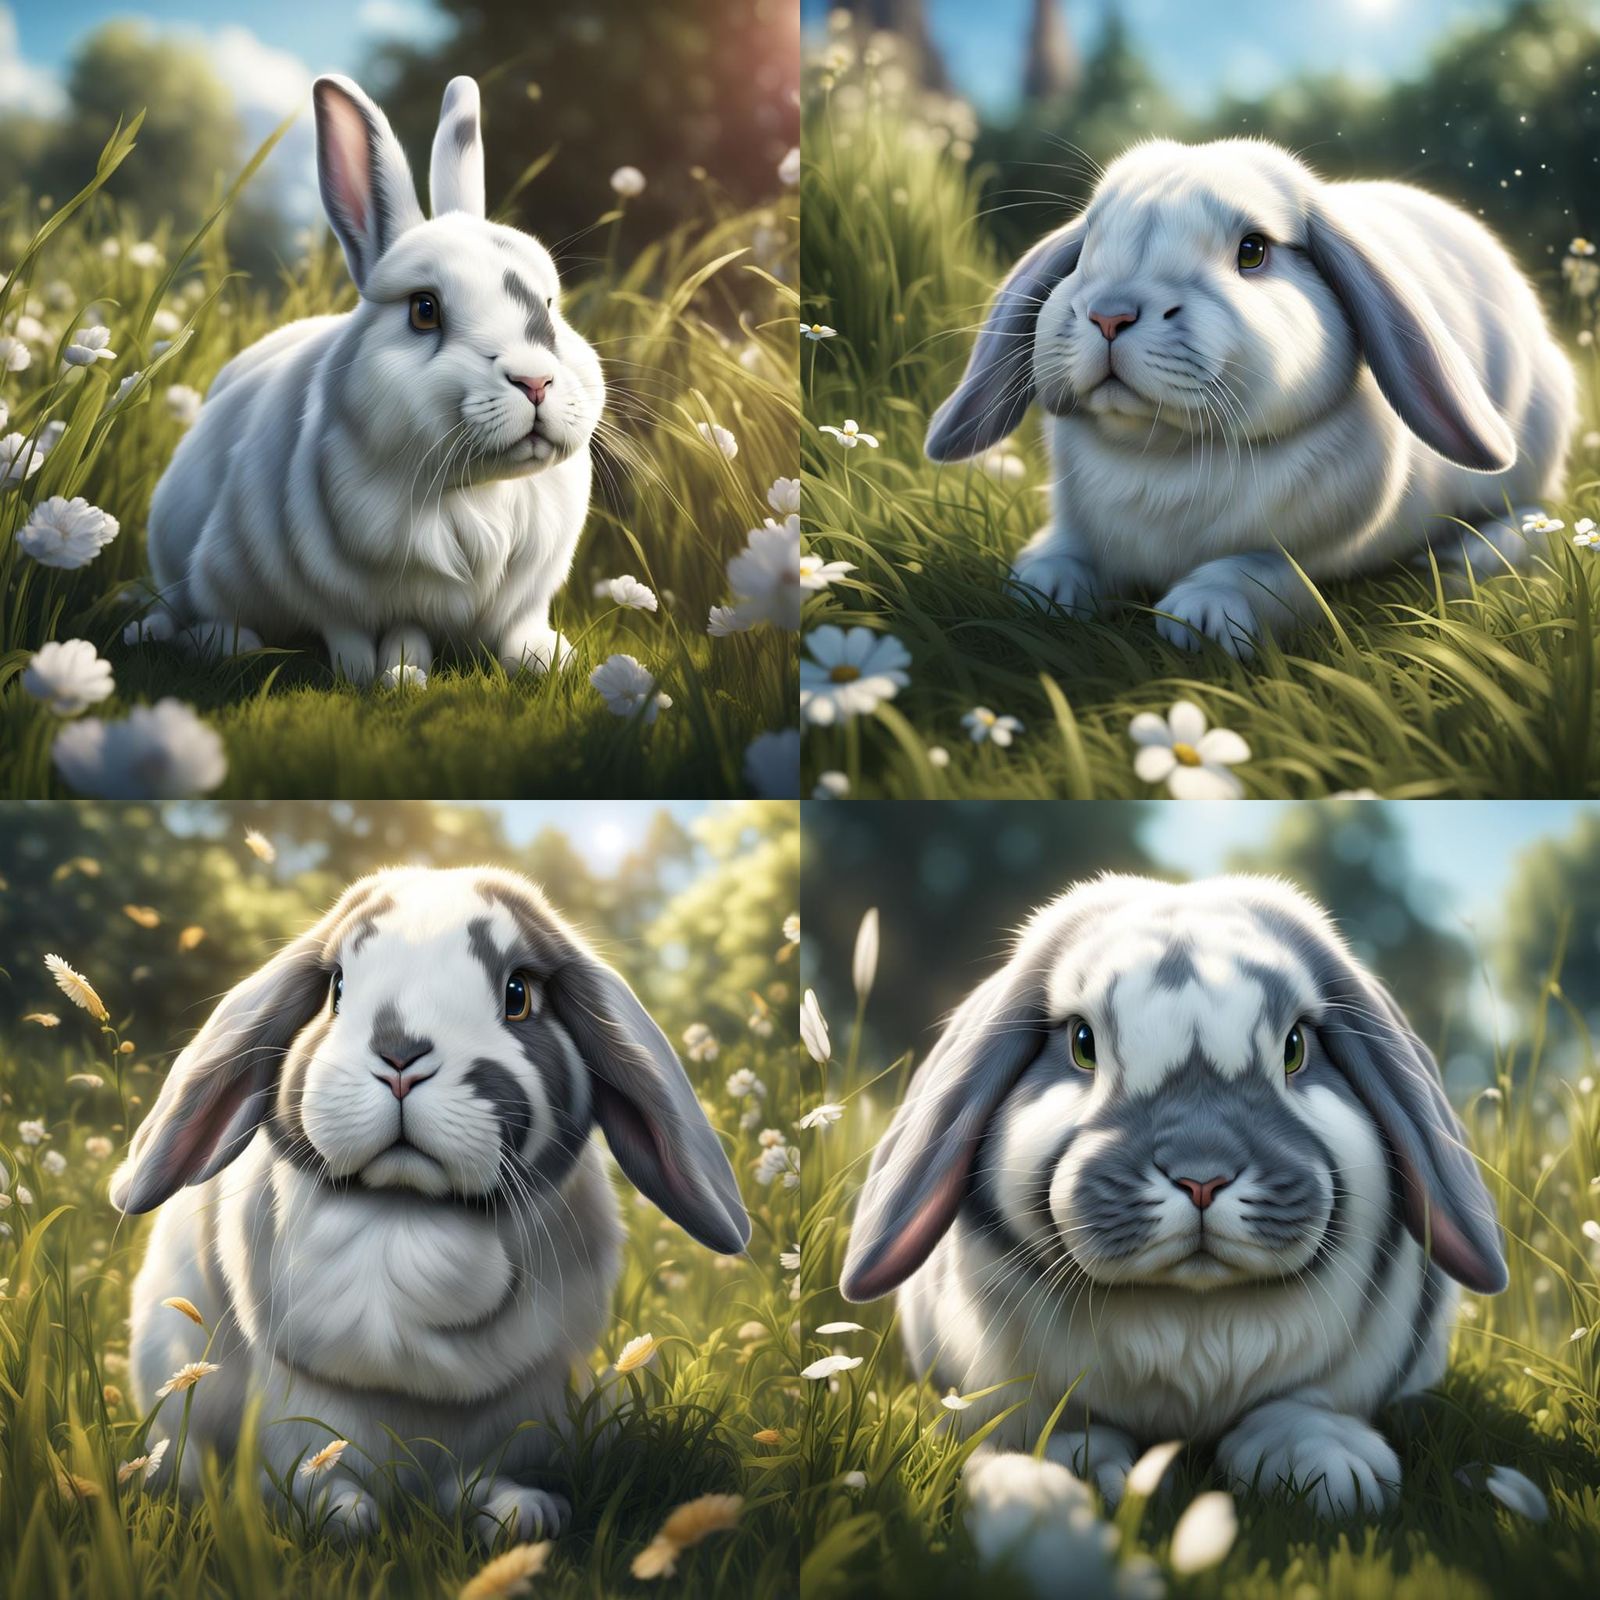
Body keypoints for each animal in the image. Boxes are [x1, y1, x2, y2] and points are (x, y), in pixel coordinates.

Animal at [111, 866, 749, 1542]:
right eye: (337, 988)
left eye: (518, 994)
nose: (399, 1057)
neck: (406, 1217)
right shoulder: (293, 1405)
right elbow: (310, 1474)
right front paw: (341, 1514)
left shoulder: (515, 1415)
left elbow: (477, 1481)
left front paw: (525, 1513)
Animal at [136, 75, 605, 685]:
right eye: (424, 310)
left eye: (549, 305)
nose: (535, 381)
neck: (469, 496)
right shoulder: (334, 596)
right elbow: (354, 634)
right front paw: (380, 675)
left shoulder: (519, 600)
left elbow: (513, 632)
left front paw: (548, 658)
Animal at [839, 873, 1507, 1519]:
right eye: (1081, 1043)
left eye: (1295, 1048)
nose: (1201, 1177)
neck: (1193, 1323)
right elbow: (1046, 1422)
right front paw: (1062, 1479)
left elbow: (1304, 1405)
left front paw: (1334, 1473)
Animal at [925, 138, 1577, 658]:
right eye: (1088, 244)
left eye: (1253, 251)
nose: (1110, 313)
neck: (1167, 457)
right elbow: (1065, 549)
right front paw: (1046, 588)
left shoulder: (1312, 557)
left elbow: (1264, 571)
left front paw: (1201, 616)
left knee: (1536, 513)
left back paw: (1475, 555)